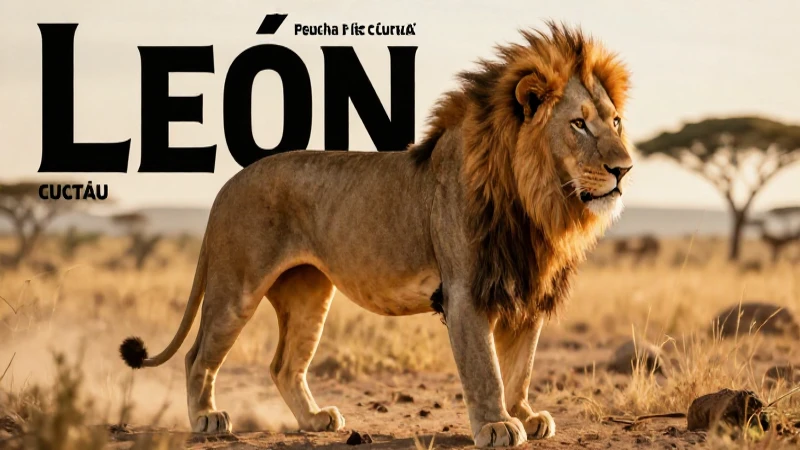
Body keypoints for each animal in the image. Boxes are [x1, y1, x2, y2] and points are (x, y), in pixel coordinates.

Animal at [119, 22, 633, 448]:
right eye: (578, 123)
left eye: (615, 121)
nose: (624, 168)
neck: (538, 205)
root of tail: (226, 186)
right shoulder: (466, 291)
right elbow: (486, 366)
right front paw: (496, 424)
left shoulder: (525, 288)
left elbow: (520, 366)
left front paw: (522, 414)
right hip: (237, 287)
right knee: (197, 356)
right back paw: (207, 419)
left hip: (308, 293)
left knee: (283, 365)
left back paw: (315, 420)